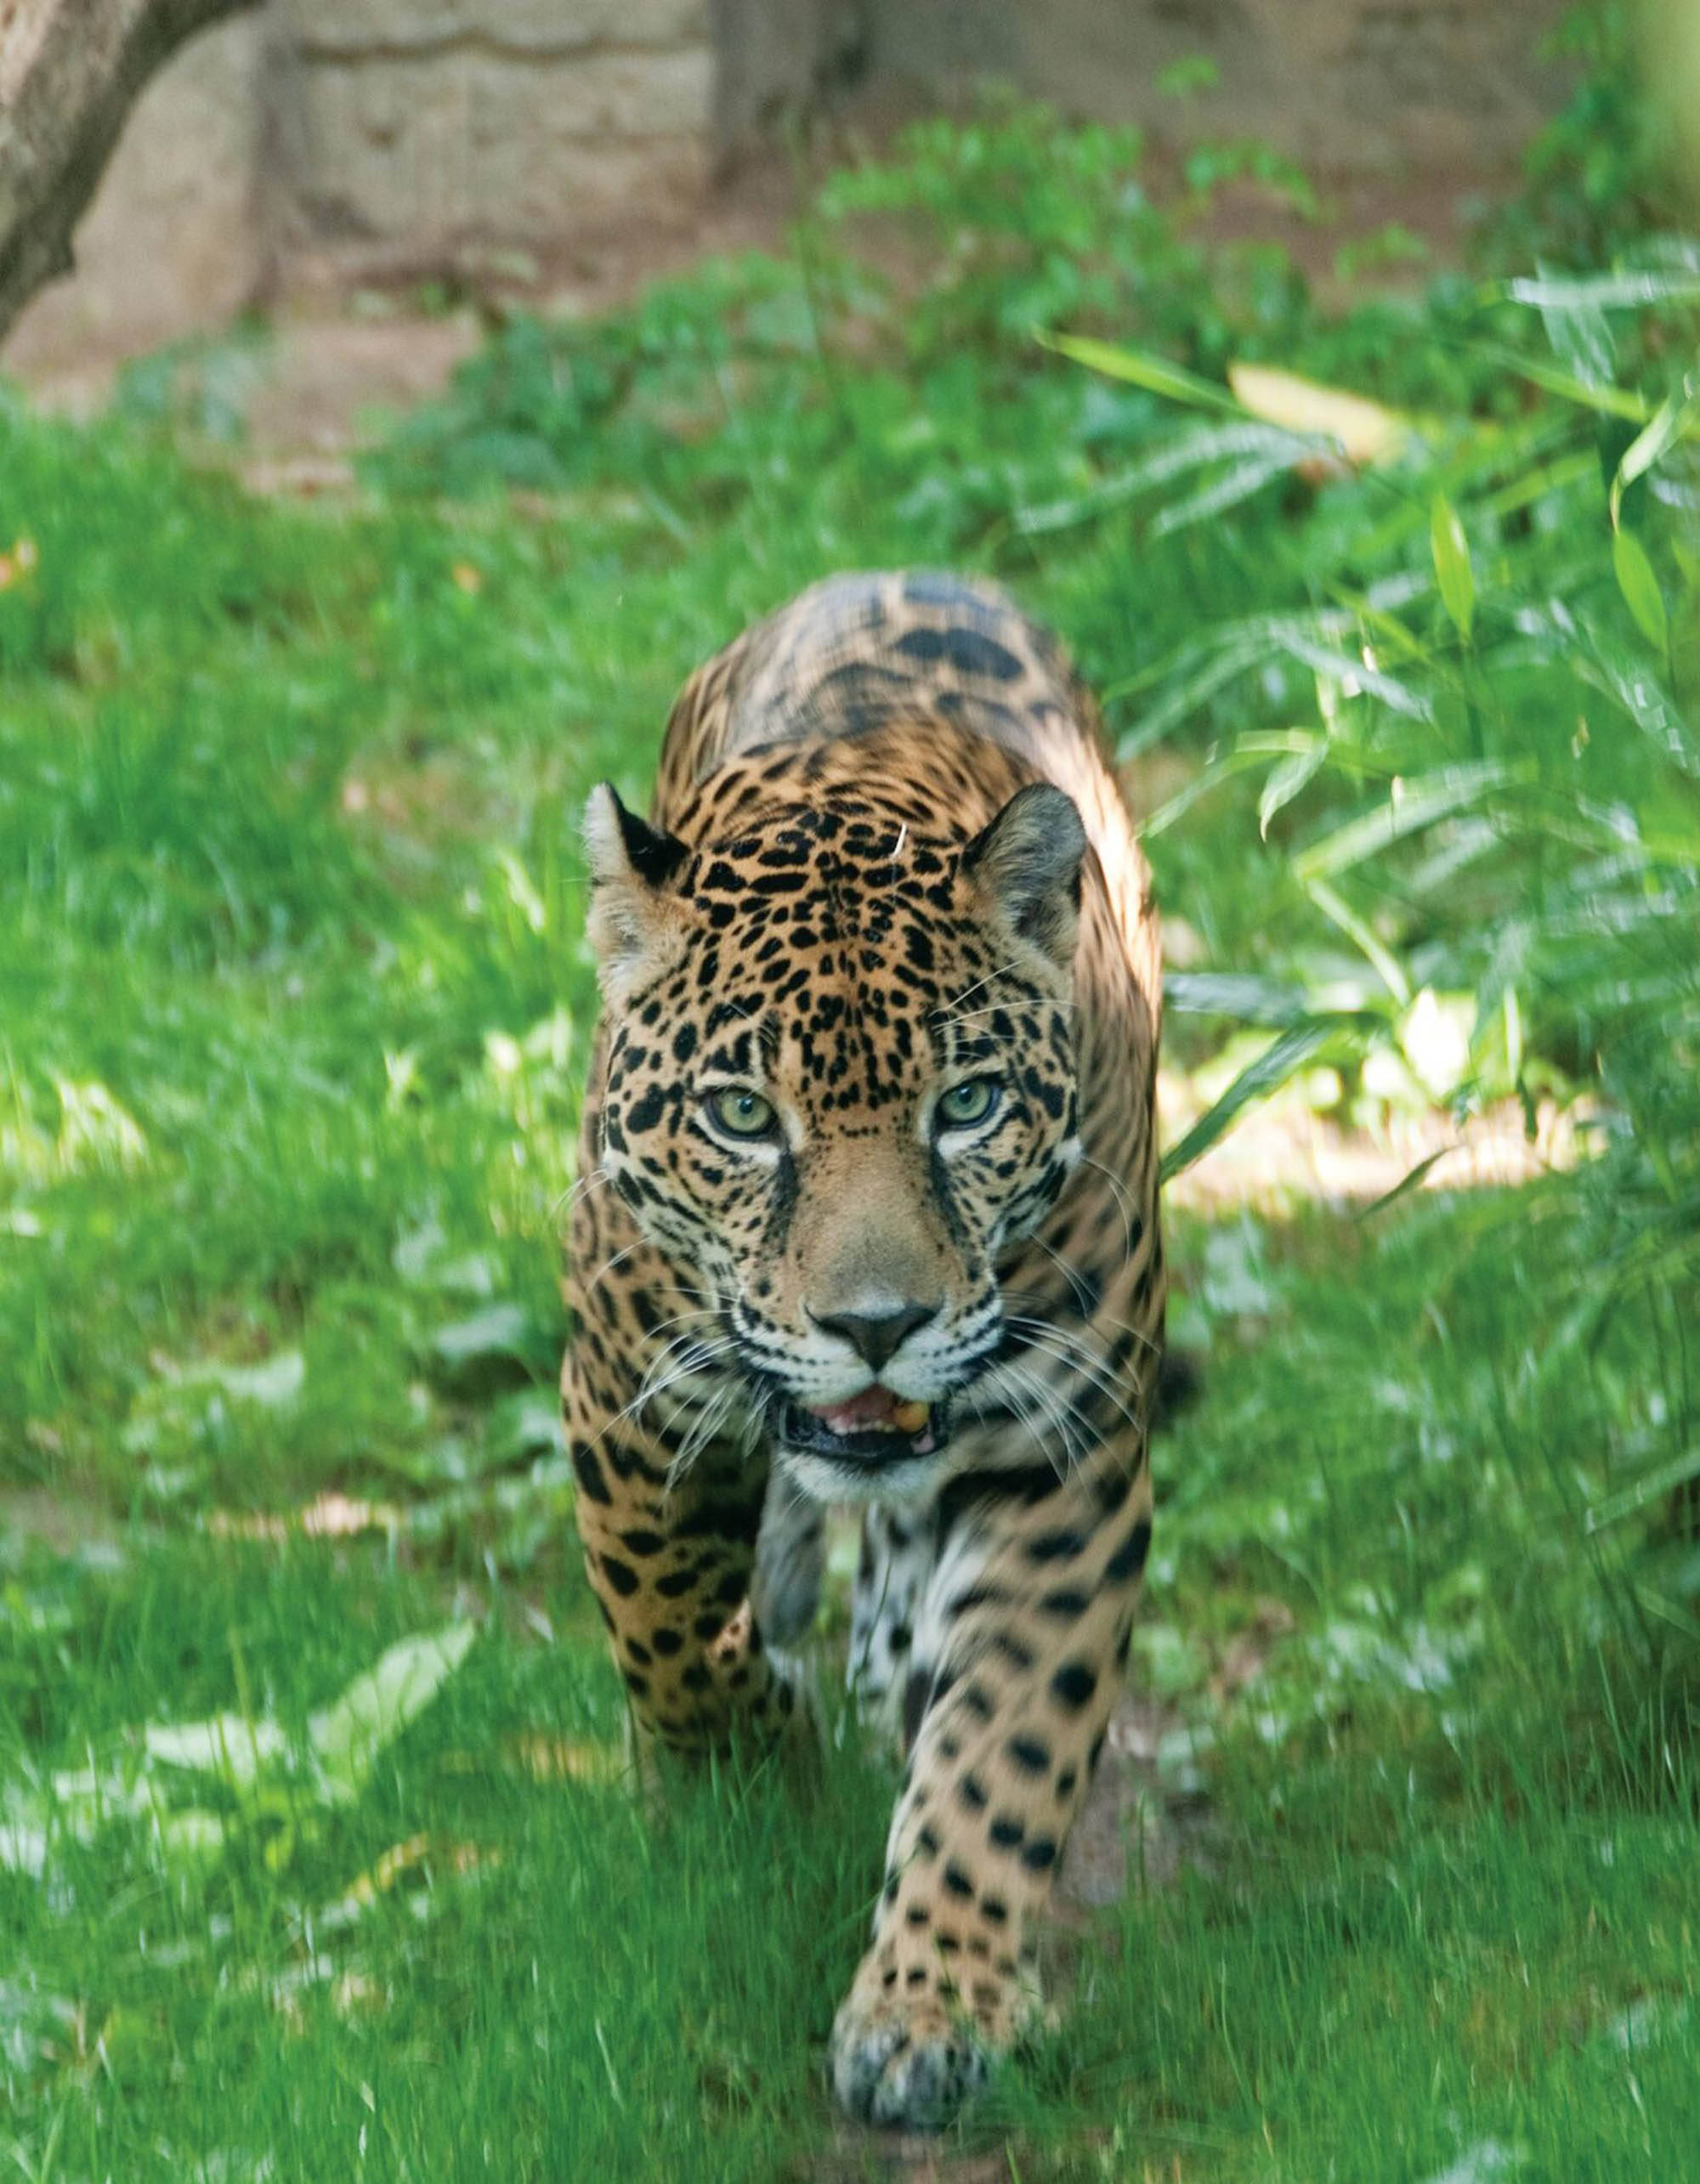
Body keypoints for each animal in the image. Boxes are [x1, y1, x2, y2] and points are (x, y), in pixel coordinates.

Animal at [562, 569, 1163, 2131]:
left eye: (967, 1106)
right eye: (739, 1116)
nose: (877, 1326)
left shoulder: (1064, 1453)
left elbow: (1008, 1742)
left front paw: (931, 2004)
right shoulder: (626, 1397)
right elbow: (668, 1628)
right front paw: (749, 1768)